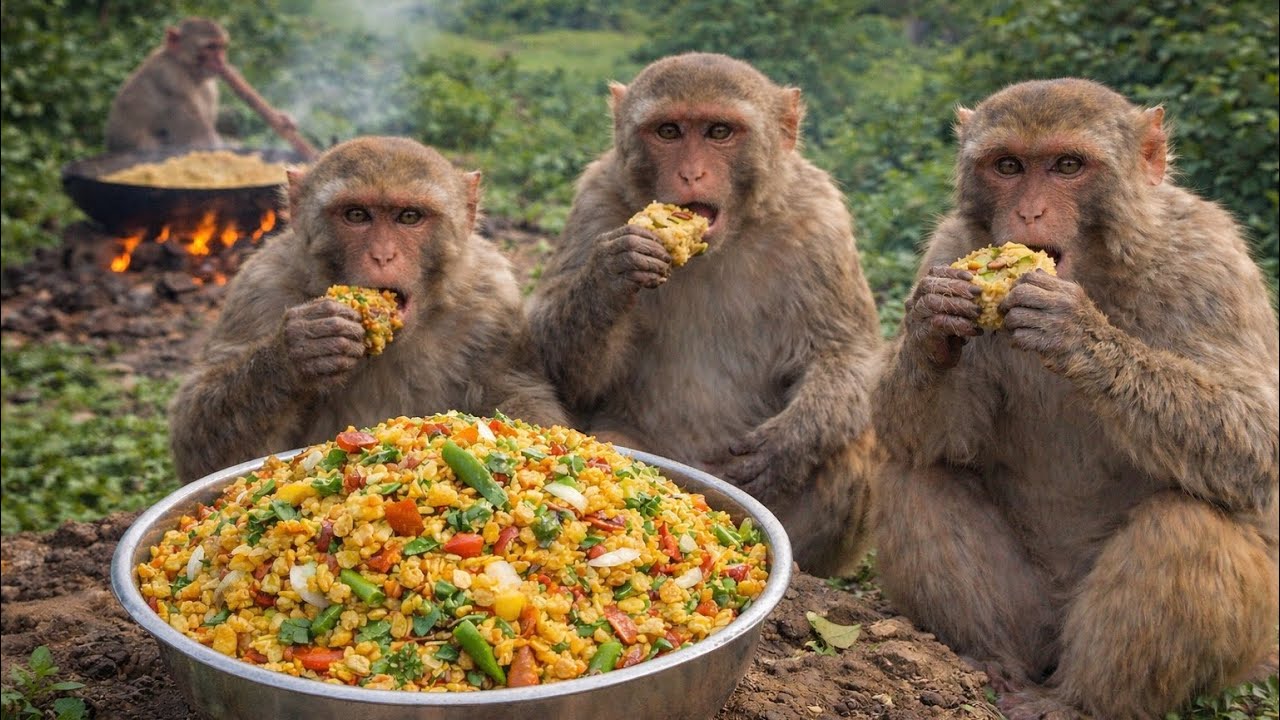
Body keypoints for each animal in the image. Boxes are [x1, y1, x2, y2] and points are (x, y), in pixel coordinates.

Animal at [169, 136, 568, 483]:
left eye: (409, 217)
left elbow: (521, 396)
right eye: (357, 215)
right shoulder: (258, 289)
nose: (382, 255)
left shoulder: (493, 300)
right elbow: (198, 440)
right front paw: (299, 349)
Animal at [525, 53, 883, 577]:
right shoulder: (594, 202)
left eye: (719, 132)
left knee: (852, 440)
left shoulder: (821, 221)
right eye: (669, 131)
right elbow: (560, 366)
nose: (691, 174)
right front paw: (612, 271)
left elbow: (848, 352)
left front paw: (786, 445)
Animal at [871, 78, 1279, 720]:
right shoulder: (949, 245)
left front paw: (1078, 333)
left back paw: (1079, 701)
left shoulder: (1210, 259)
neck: (1096, 265)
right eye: (1008, 166)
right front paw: (931, 325)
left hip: (1244, 643)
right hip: (1035, 619)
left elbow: (1257, 441)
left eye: (1067, 166)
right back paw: (993, 665)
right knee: (915, 477)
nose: (1029, 212)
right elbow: (928, 438)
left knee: (1190, 525)